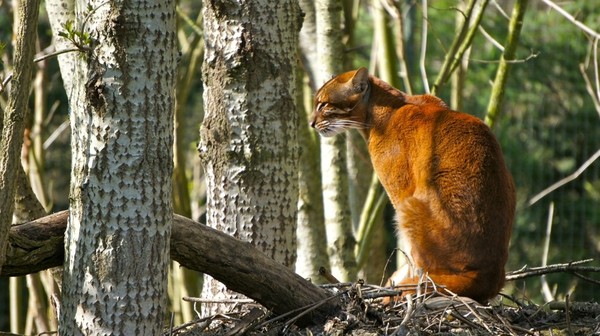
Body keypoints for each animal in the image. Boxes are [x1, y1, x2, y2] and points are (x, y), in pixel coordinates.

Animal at [310, 67, 516, 302]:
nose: (312, 123)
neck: (380, 110)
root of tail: (492, 276)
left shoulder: (400, 192)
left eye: (323, 104)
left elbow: (410, 252)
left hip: (411, 207)